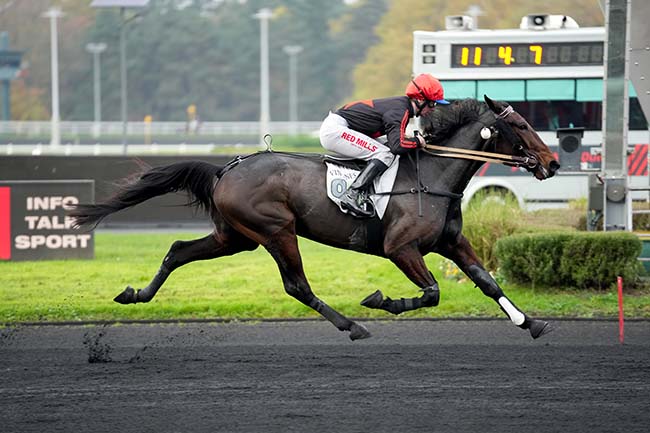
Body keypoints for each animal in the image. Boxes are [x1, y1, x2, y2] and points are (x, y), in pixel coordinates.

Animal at [69, 96, 556, 340]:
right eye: (522, 126)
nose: (551, 163)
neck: (432, 175)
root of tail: (226, 168)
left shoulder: (450, 242)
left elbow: (487, 281)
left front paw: (530, 322)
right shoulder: (401, 248)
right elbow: (433, 292)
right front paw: (381, 300)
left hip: (235, 236)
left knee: (176, 250)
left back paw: (136, 294)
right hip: (275, 230)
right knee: (297, 285)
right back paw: (353, 325)